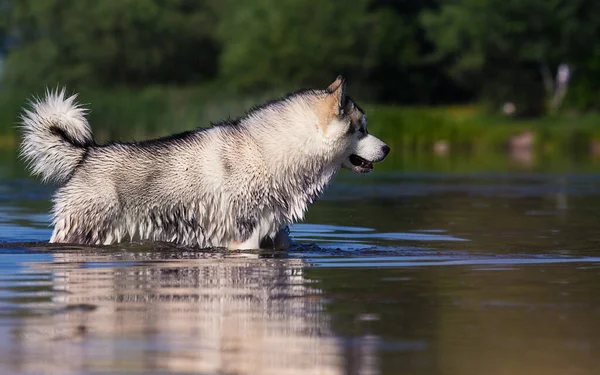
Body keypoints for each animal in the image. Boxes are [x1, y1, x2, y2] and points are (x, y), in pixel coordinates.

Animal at [18, 76, 390, 250]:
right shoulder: (243, 241)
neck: (273, 153)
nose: (387, 148)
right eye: (362, 128)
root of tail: (88, 153)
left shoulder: (274, 235)